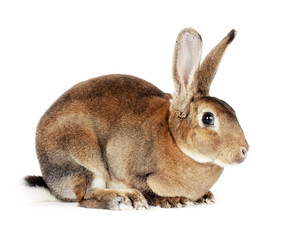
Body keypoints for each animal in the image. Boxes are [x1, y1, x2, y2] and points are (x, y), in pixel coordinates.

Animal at [25, 27, 248, 210]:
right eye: (208, 118)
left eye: (233, 110)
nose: (244, 150)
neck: (175, 141)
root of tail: (52, 186)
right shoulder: (130, 168)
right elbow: (146, 188)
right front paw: (172, 200)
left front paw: (204, 197)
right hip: (82, 158)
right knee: (85, 197)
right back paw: (125, 199)